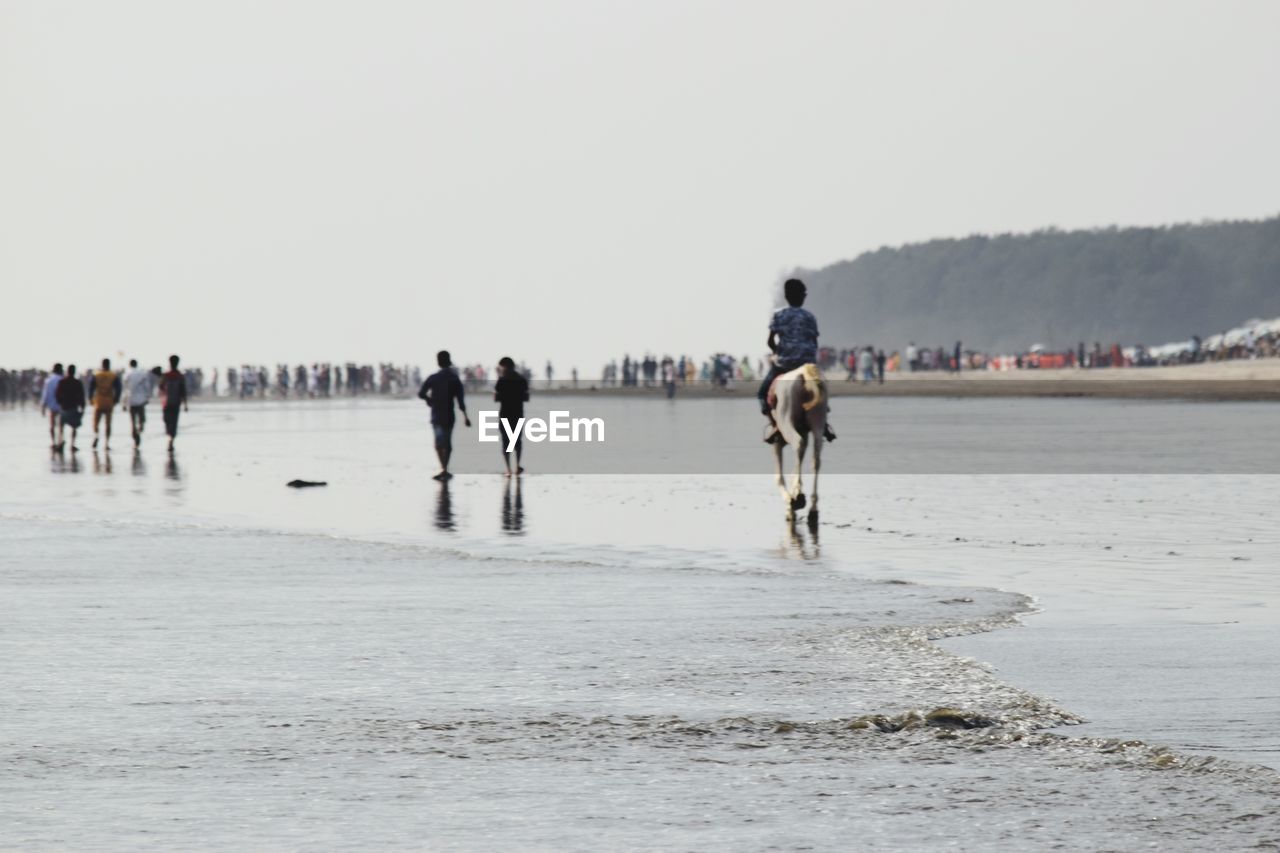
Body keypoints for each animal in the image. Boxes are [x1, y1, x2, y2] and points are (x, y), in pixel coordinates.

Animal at [762, 361, 824, 525]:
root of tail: (803, 373)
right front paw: (794, 495)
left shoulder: (777, 443)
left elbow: (779, 477)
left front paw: (790, 502)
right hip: (818, 422)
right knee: (816, 458)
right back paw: (812, 509)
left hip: (786, 420)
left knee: (798, 443)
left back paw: (799, 498)